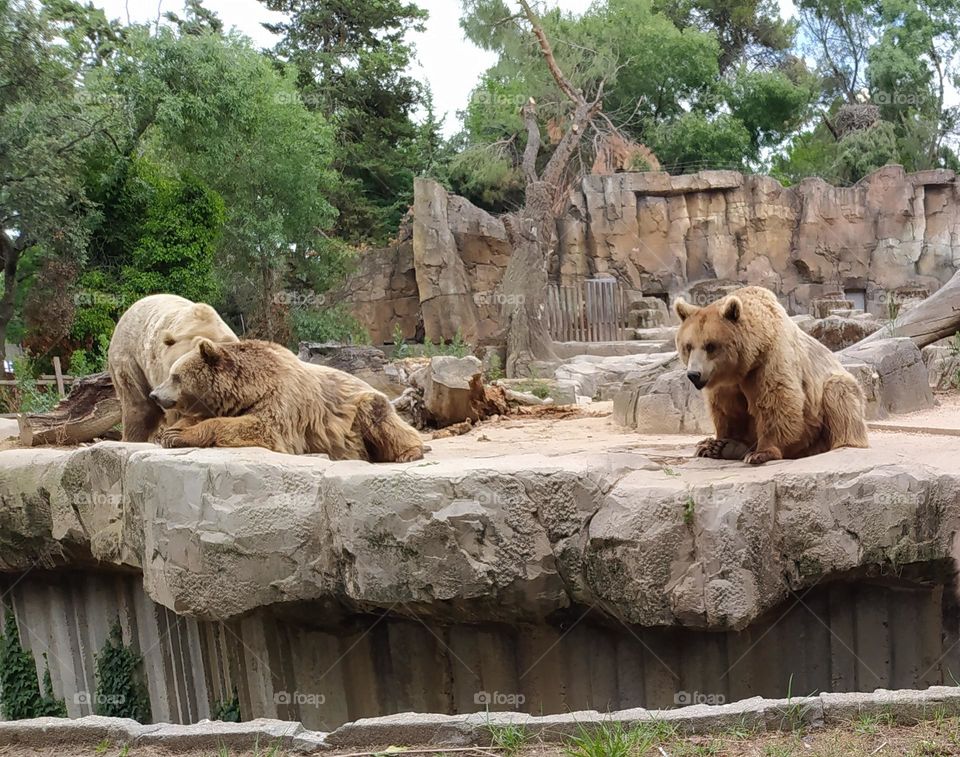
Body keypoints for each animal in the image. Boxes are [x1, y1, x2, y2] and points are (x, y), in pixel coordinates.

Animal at [149, 338, 425, 462]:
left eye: (175, 376)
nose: (154, 394)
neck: (250, 388)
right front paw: (170, 432)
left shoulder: (282, 398)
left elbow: (262, 428)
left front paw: (177, 436)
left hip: (363, 407)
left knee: (381, 417)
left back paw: (410, 452)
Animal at [673, 285, 868, 464]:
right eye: (688, 346)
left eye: (710, 345)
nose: (694, 374)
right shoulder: (726, 384)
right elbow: (726, 409)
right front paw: (718, 445)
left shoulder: (769, 361)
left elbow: (777, 400)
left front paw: (760, 453)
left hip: (828, 403)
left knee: (839, 396)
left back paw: (845, 443)